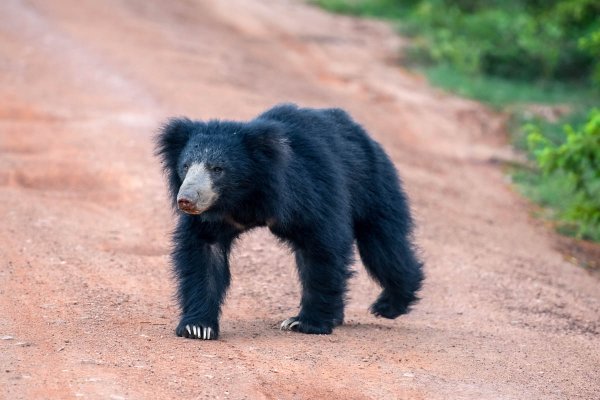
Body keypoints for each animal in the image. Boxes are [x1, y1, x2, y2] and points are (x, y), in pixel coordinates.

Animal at [157, 104, 424, 340]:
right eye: (186, 166)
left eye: (217, 169)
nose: (186, 200)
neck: (244, 197)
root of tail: (362, 133)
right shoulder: (214, 217)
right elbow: (204, 253)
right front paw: (197, 327)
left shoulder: (308, 191)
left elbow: (322, 247)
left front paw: (305, 323)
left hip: (373, 184)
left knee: (383, 247)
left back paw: (389, 305)